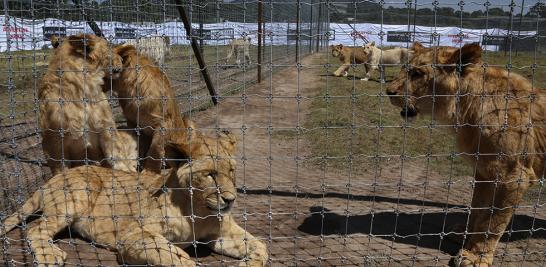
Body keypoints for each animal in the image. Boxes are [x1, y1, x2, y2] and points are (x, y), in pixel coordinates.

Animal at [0, 129, 268, 266]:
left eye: (231, 171)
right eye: (210, 174)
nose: (230, 200)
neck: (199, 212)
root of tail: (49, 180)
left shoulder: (220, 234)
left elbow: (260, 246)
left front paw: (249, 262)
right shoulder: (133, 234)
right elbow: (173, 255)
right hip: (79, 192)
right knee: (35, 228)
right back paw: (49, 254)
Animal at [40, 34, 137, 176]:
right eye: (108, 46)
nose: (122, 59)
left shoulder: (107, 128)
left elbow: (119, 159)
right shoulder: (54, 146)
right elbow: (61, 172)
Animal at [384, 42, 540, 266]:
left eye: (417, 74)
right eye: (406, 69)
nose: (388, 91)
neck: (466, 109)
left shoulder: (514, 176)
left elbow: (493, 221)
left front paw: (475, 256)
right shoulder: (484, 172)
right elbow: (478, 209)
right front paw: (464, 235)